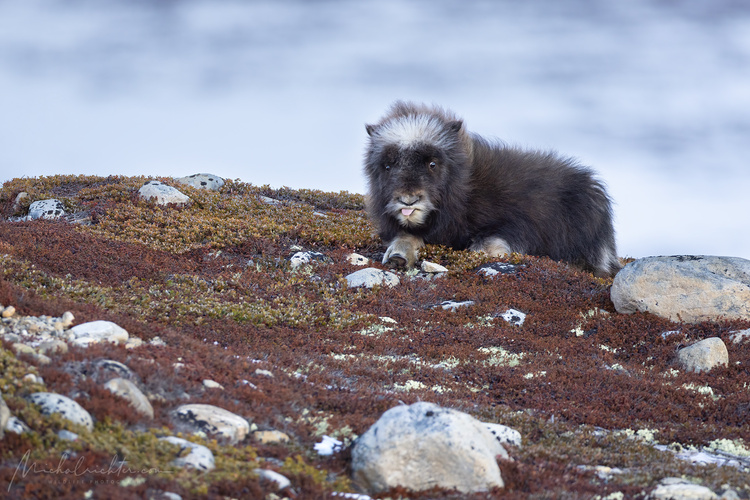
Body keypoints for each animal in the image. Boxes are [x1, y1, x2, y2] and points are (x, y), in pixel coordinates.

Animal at [366, 101, 624, 278]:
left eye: (432, 163)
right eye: (387, 166)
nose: (408, 201)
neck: (466, 189)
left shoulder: (515, 225)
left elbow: (488, 242)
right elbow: (406, 235)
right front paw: (397, 256)